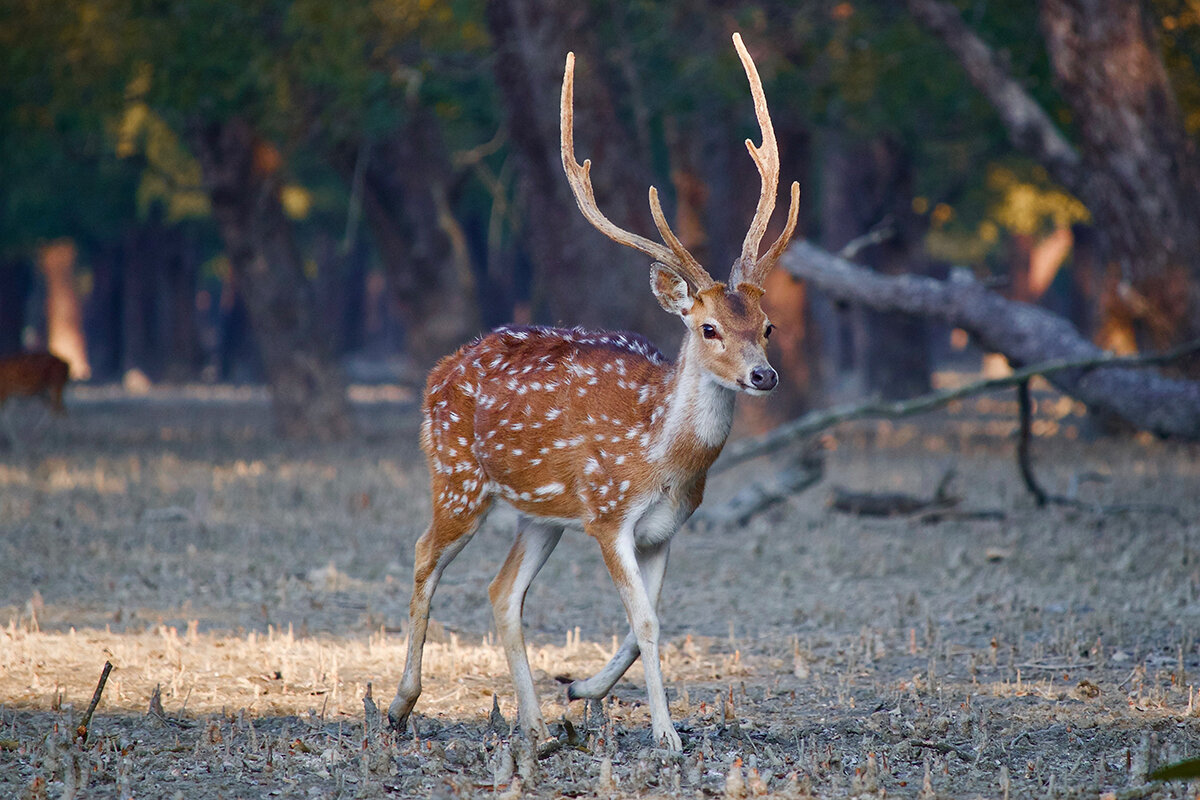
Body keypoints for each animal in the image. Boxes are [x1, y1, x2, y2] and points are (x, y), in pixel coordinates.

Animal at [388, 32, 801, 758]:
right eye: (709, 327)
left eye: (768, 325)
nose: (764, 376)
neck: (663, 458)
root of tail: (438, 372)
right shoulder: (609, 516)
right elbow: (647, 623)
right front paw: (666, 734)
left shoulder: (665, 528)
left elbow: (649, 622)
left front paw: (581, 691)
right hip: (459, 479)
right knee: (423, 555)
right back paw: (398, 705)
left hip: (540, 514)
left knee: (502, 591)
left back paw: (534, 727)